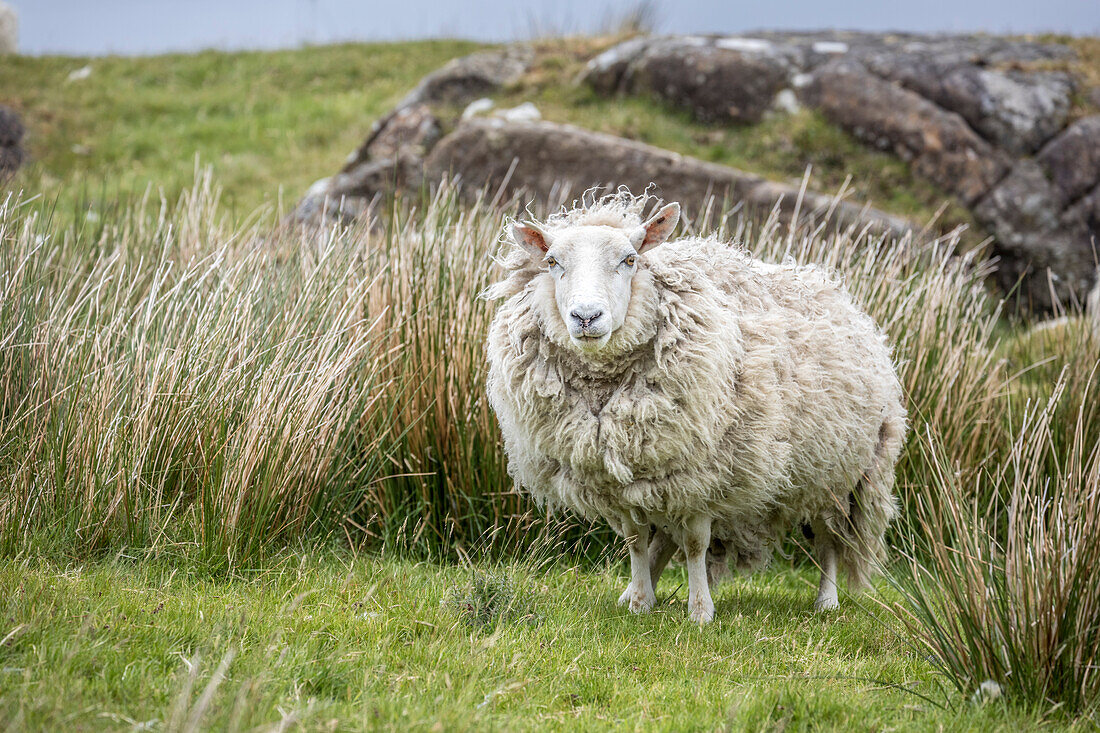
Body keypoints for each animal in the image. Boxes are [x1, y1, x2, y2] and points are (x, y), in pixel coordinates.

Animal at [486, 191, 906, 620]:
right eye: (553, 262)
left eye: (629, 260)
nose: (586, 317)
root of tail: (837, 293)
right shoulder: (628, 480)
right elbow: (637, 541)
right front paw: (640, 602)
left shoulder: (707, 471)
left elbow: (695, 545)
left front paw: (700, 611)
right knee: (664, 538)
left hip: (837, 471)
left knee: (828, 539)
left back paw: (827, 600)